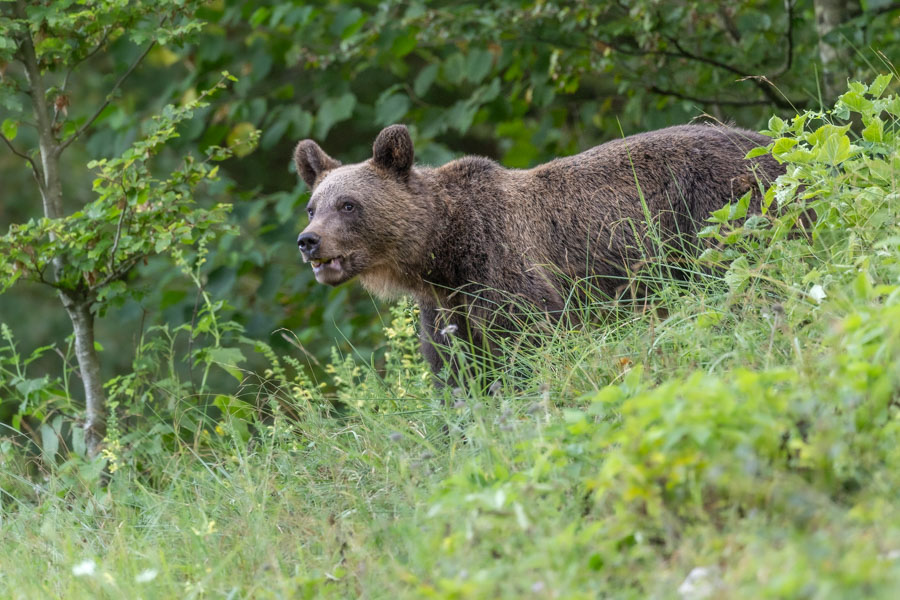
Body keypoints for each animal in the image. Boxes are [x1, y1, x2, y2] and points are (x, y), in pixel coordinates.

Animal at [294, 123, 780, 376]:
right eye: (312, 206)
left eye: (348, 204)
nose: (308, 241)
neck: (442, 253)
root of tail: (766, 142)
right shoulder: (446, 308)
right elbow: (458, 370)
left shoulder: (502, 265)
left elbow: (530, 340)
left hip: (719, 208)